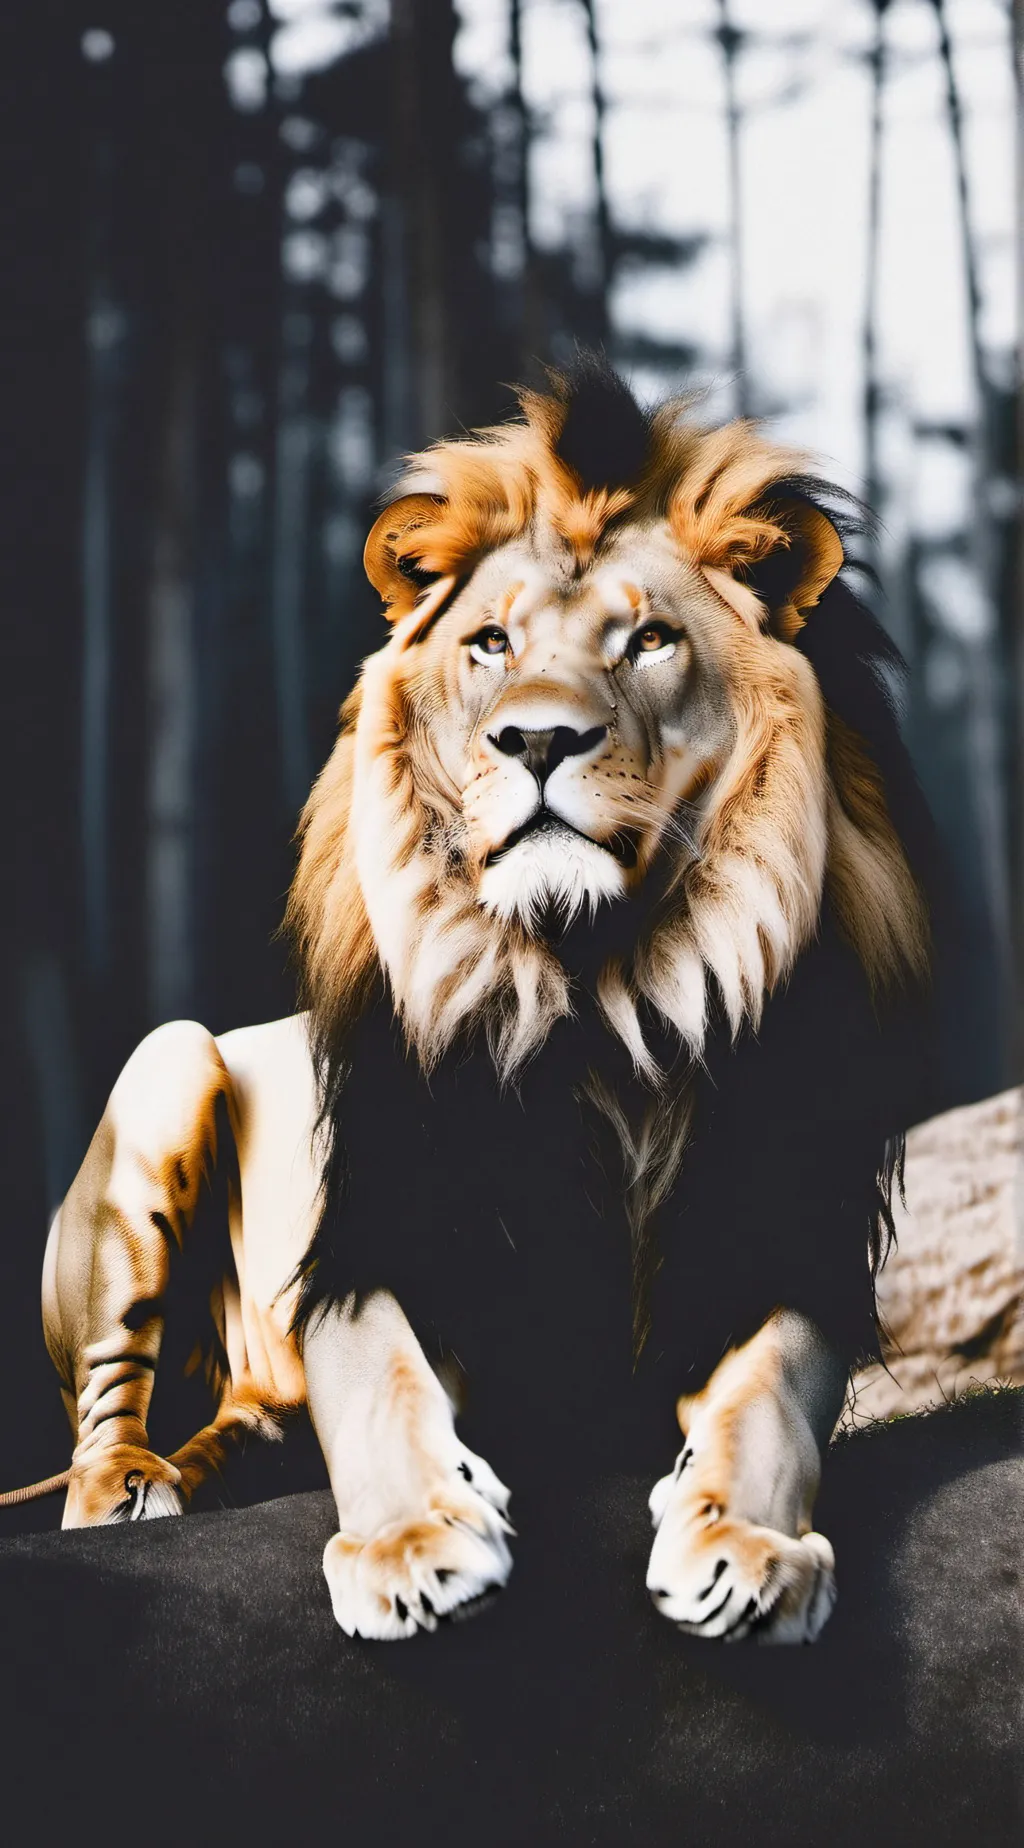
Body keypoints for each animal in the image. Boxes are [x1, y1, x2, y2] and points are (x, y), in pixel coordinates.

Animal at [24, 358, 934, 1645]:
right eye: (492, 643)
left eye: (649, 640)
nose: (537, 738)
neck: (596, 988)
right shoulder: (374, 1246)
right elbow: (384, 1388)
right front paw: (415, 1548)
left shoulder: (777, 1245)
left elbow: (766, 1396)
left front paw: (745, 1550)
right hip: (170, 1062)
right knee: (103, 1414)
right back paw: (134, 1489)